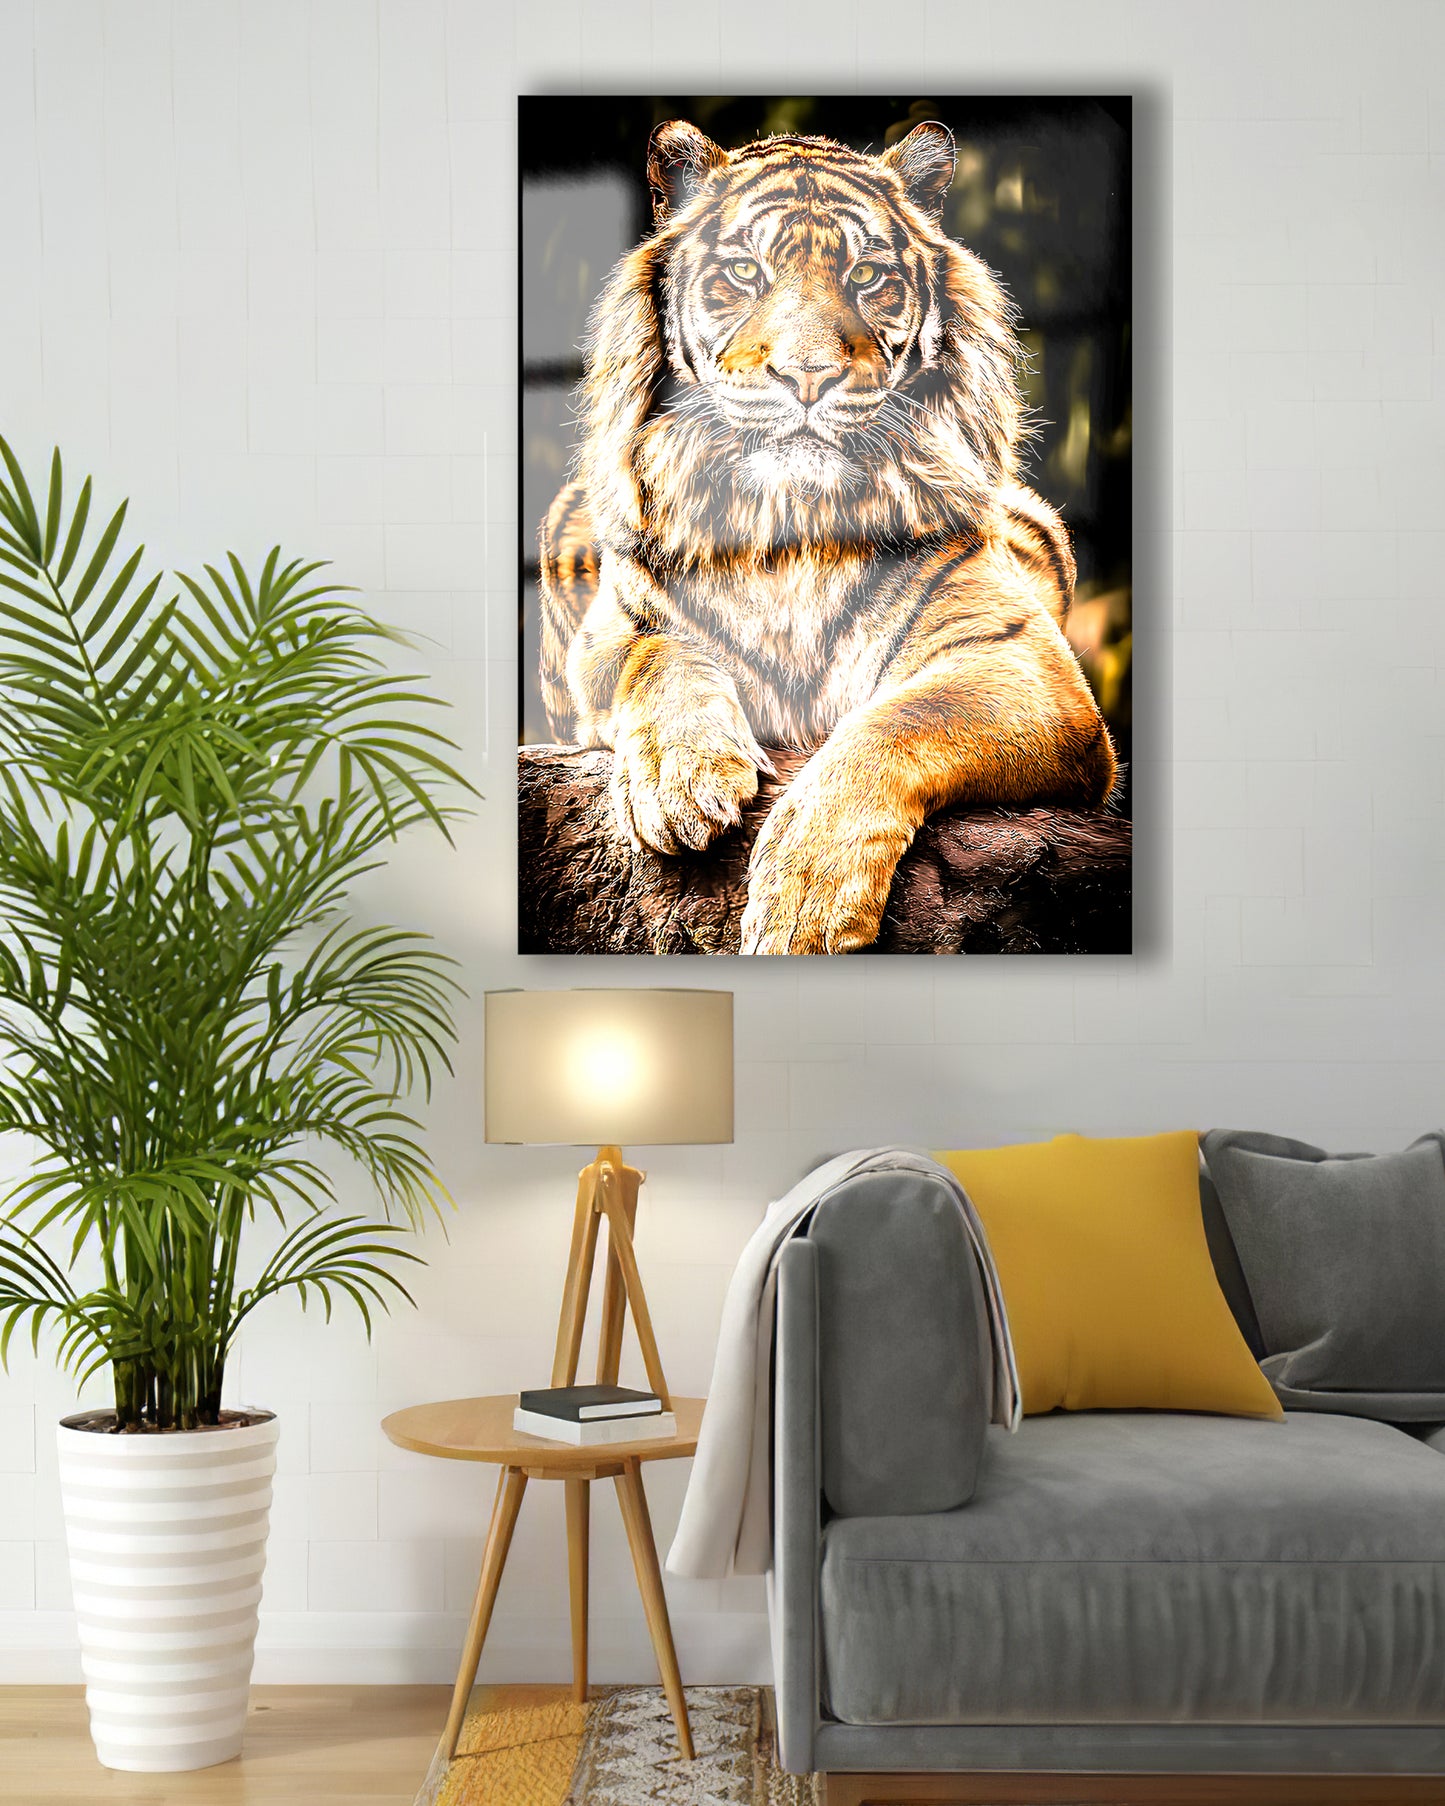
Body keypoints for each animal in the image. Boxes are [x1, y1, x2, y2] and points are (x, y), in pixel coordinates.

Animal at [537, 116, 1117, 954]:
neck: (792, 525)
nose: (807, 376)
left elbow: (898, 724)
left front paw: (802, 904)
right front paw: (679, 782)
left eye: (868, 275)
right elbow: (659, 656)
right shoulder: (607, 637)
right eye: (743, 272)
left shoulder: (1018, 664)